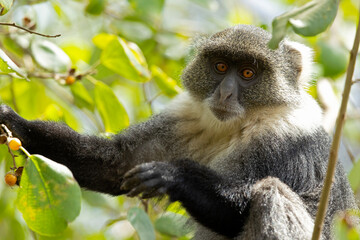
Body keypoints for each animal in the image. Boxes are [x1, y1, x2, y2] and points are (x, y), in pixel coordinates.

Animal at [0, 24, 356, 240]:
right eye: (220, 67)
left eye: (248, 73)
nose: (225, 94)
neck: (235, 125)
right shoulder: (185, 120)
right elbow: (115, 164)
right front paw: (15, 123)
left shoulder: (286, 138)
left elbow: (238, 210)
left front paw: (172, 177)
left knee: (271, 193)